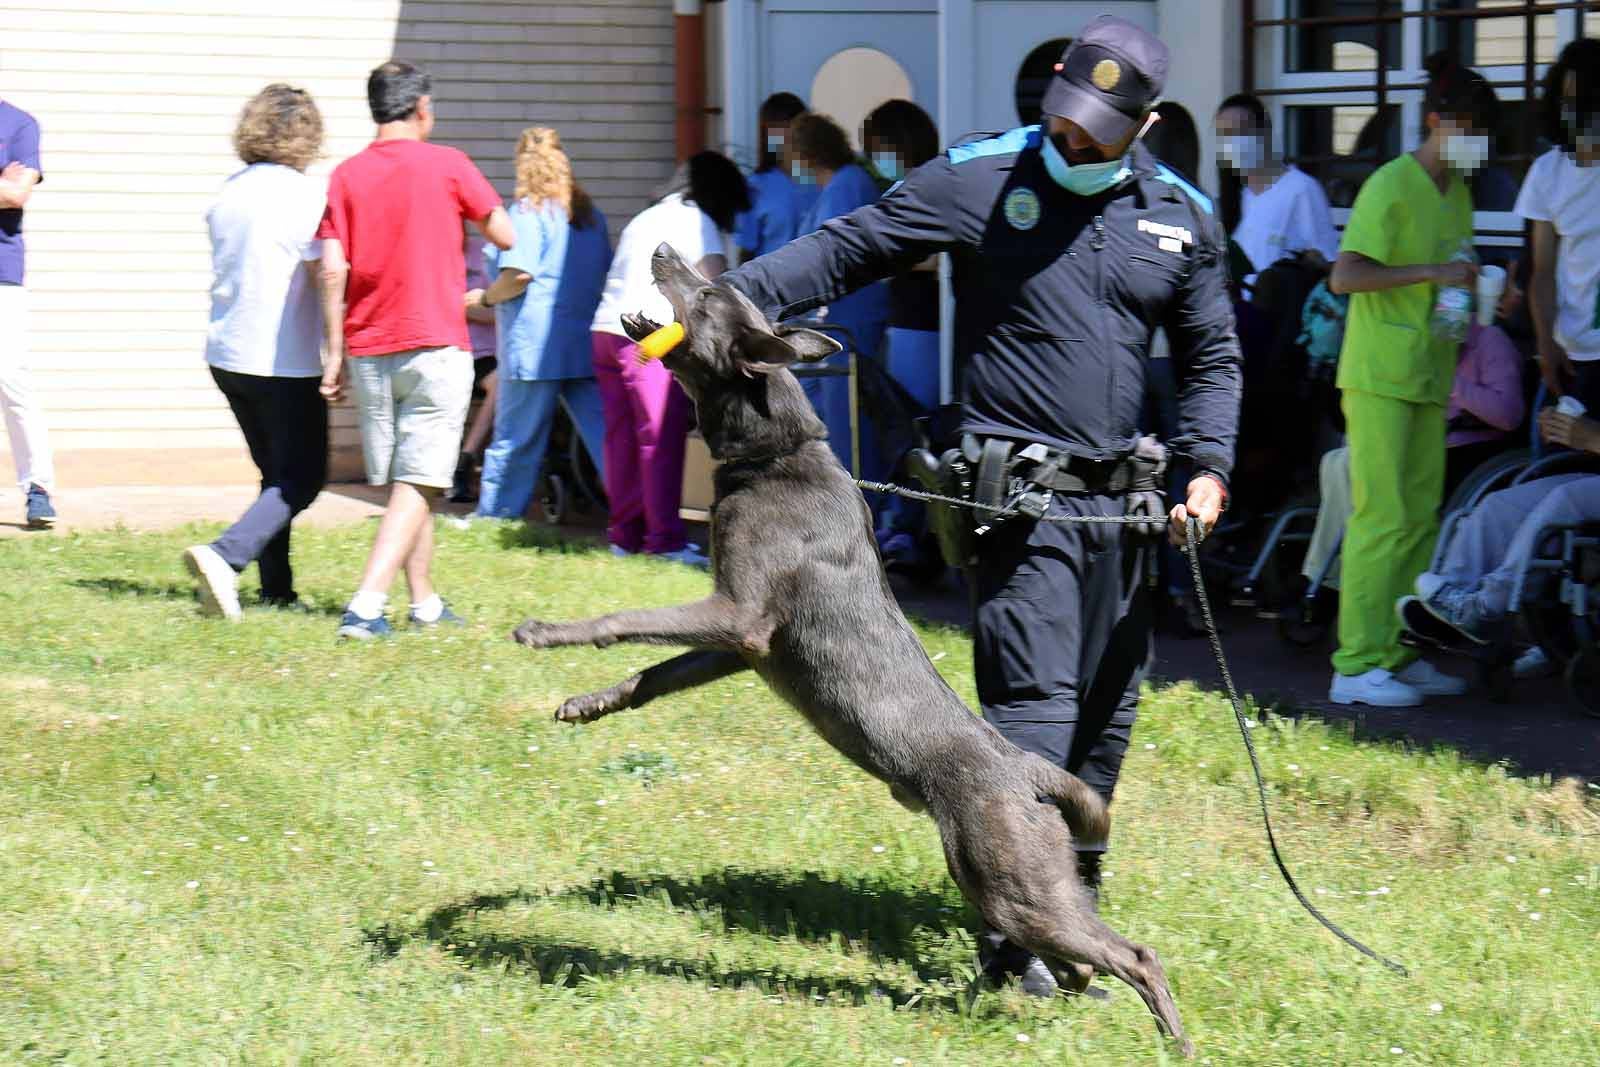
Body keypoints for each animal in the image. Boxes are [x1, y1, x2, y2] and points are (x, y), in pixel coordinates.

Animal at [512, 244, 1190, 1062]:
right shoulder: (741, 647)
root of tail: (1025, 769)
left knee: (1135, 954)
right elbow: (653, 672)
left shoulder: (737, 616)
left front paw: (543, 632)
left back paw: (1176, 1041)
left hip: (1008, 879)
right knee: (1087, 957)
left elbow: (625, 618)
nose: (667, 251)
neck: (776, 453)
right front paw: (589, 703)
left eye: (706, 294)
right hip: (1024, 881)